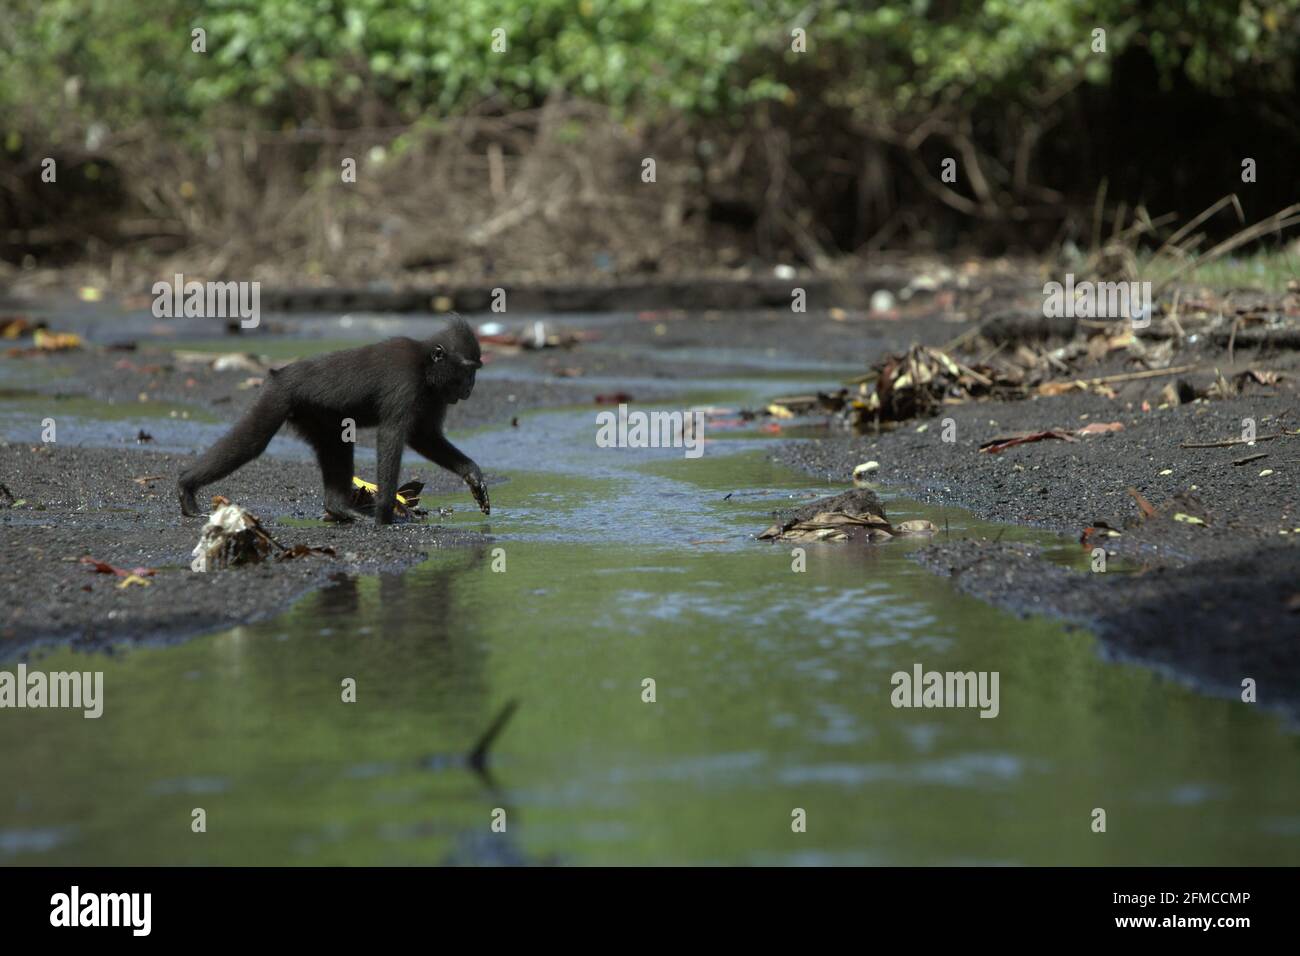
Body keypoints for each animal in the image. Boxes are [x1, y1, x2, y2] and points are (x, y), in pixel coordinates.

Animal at [178, 316, 490, 525]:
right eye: (468, 370)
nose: (472, 386)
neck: (425, 365)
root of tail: (278, 374)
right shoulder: (406, 381)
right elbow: (392, 435)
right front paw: (385, 514)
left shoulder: (435, 395)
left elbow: (423, 436)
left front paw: (473, 475)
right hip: (277, 396)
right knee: (252, 441)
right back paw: (186, 487)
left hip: (313, 414)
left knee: (337, 440)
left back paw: (340, 508)